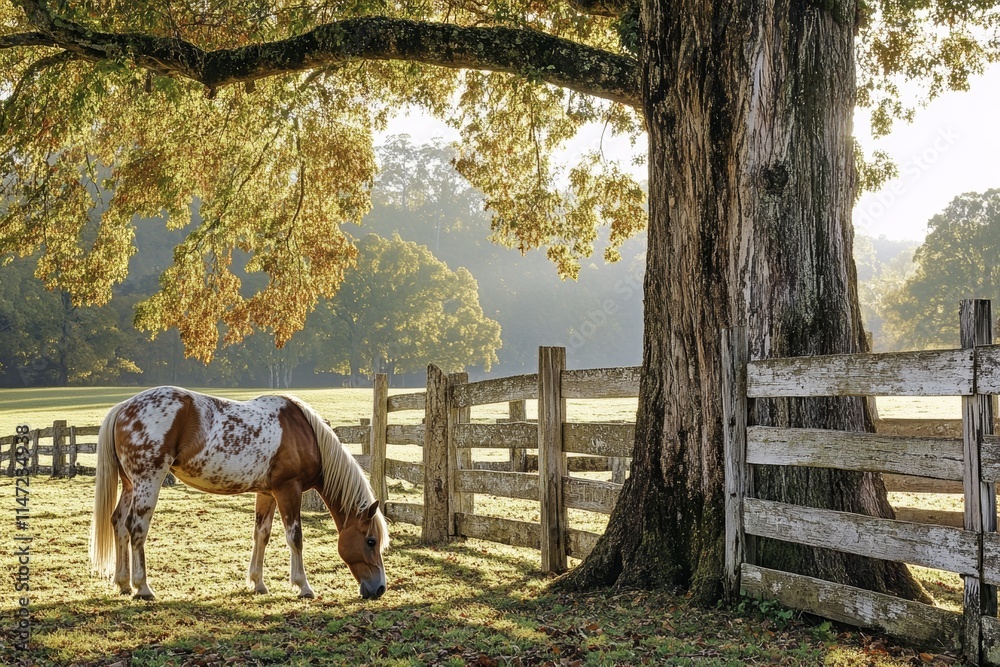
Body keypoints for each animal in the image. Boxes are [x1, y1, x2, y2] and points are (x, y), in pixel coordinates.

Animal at [90, 386, 388, 600]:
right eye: (371, 541)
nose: (379, 589)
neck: (305, 434)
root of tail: (123, 407)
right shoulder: (288, 490)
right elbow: (295, 538)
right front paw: (303, 586)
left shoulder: (267, 493)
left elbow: (261, 535)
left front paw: (258, 583)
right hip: (148, 481)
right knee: (137, 527)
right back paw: (142, 588)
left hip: (130, 485)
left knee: (119, 523)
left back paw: (123, 583)